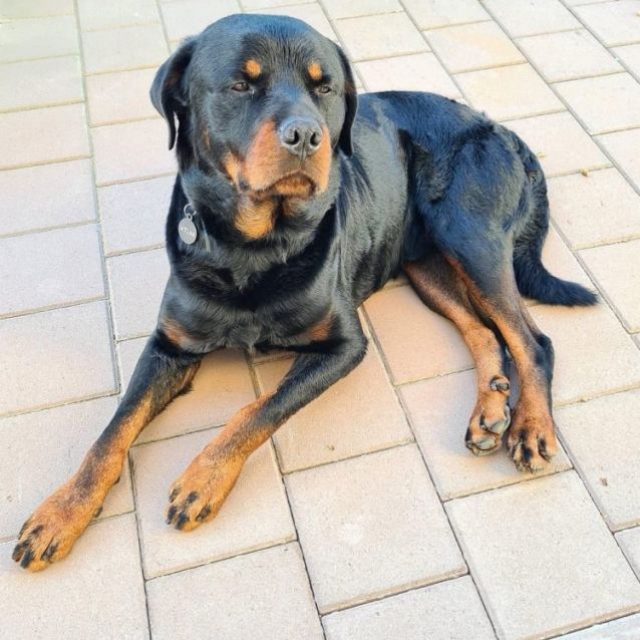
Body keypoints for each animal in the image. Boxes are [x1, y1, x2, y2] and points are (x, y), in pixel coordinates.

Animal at [13, 14, 597, 571]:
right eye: (241, 85)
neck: (253, 248)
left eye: (325, 88)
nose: (306, 136)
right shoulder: (168, 346)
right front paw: (60, 512)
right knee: (484, 330)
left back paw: (531, 427)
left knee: (531, 339)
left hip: (469, 234)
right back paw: (490, 409)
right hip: (424, 261)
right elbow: (112, 431)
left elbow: (258, 410)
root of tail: (503, 130)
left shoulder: (343, 346)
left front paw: (203, 478)